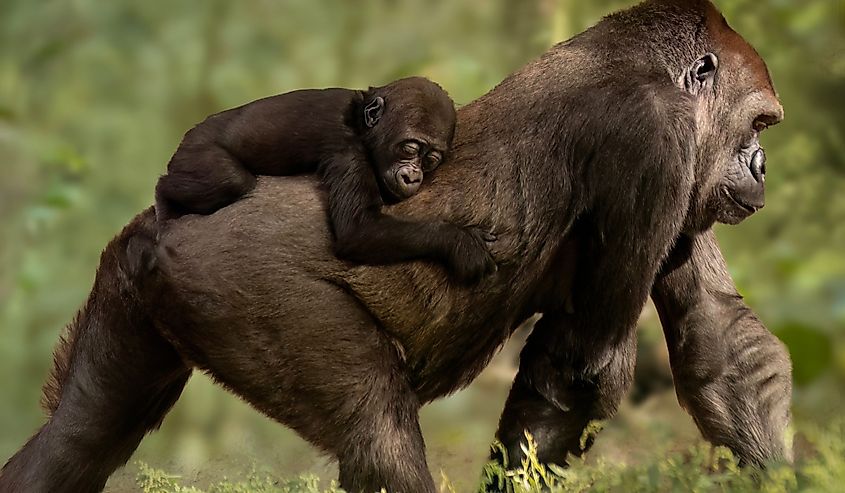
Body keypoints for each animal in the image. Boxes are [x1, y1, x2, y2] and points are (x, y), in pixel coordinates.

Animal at [155, 76, 496, 283]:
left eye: (431, 160)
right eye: (410, 148)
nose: (414, 175)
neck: (360, 123)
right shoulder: (346, 149)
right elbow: (359, 230)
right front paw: (459, 242)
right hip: (195, 151)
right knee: (230, 180)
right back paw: (163, 199)